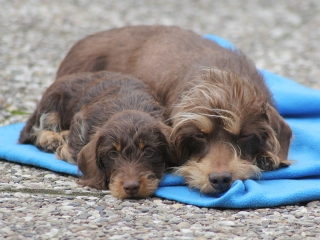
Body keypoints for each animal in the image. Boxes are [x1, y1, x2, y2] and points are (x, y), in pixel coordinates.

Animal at [19, 71, 175, 199]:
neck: (129, 105)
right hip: (53, 100)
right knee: (35, 128)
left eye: (148, 152)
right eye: (113, 154)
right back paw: (50, 138)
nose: (131, 187)